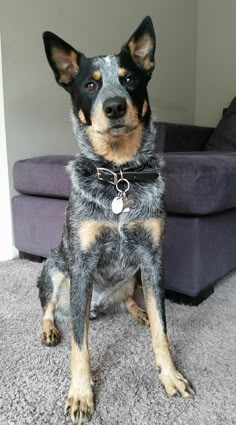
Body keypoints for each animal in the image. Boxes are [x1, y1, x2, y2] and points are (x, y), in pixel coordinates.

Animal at [37, 14, 195, 422]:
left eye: (130, 79)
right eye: (91, 84)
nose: (113, 107)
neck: (119, 174)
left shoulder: (153, 258)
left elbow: (162, 329)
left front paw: (170, 375)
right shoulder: (82, 263)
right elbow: (80, 346)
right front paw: (81, 394)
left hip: (133, 274)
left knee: (130, 299)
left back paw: (139, 311)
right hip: (53, 268)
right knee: (50, 308)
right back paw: (49, 330)